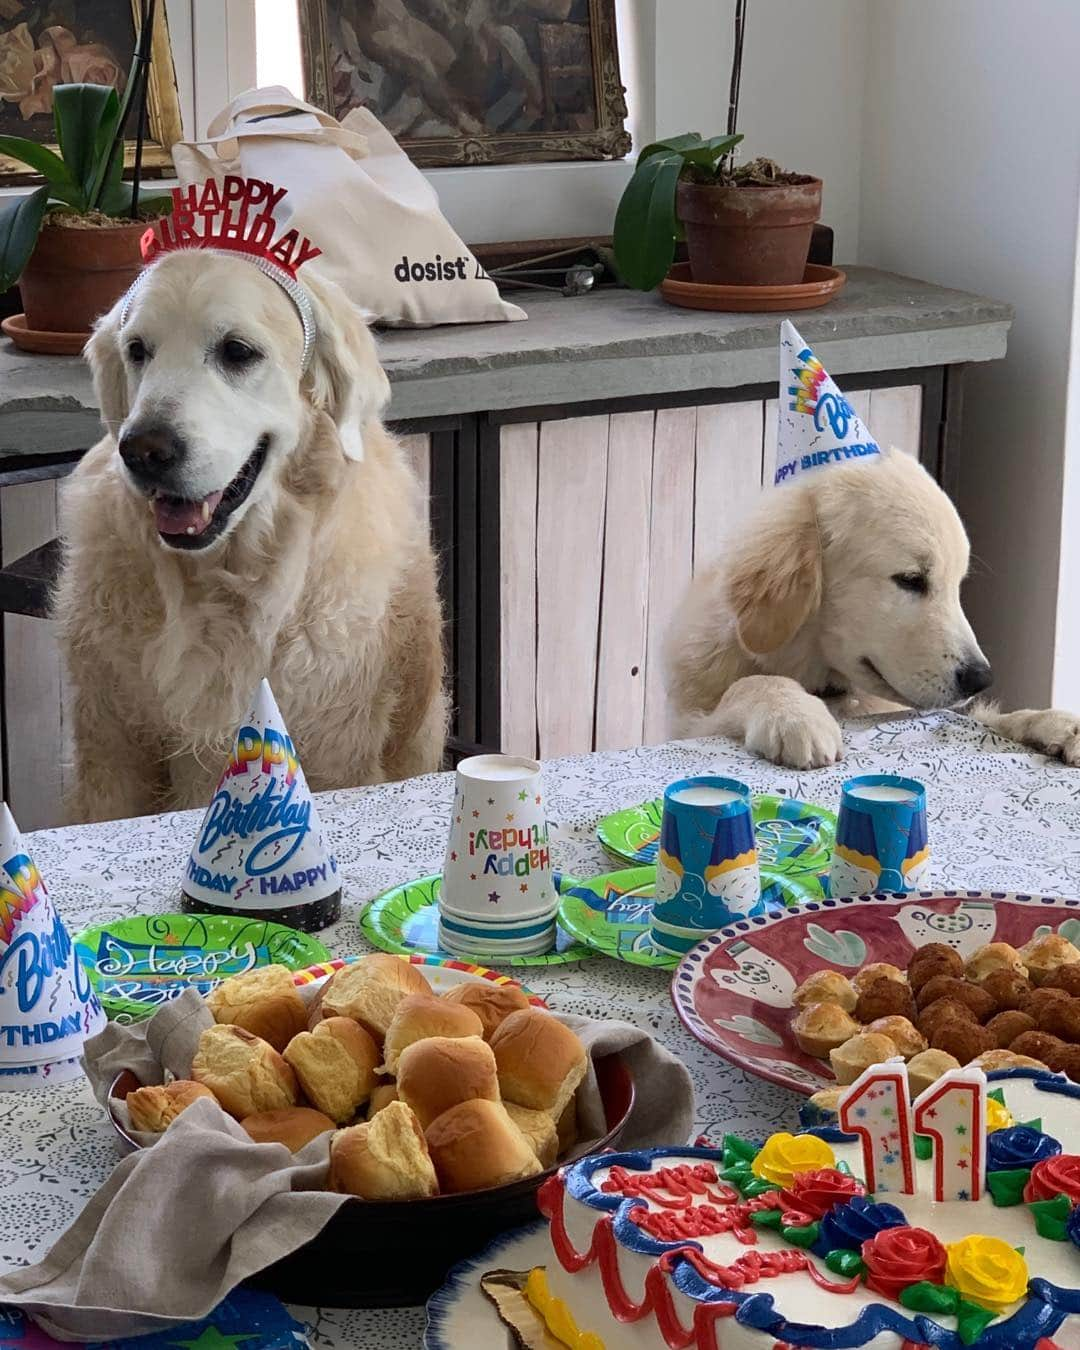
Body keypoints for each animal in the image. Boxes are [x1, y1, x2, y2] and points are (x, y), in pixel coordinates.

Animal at [53, 252, 442, 820]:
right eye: (137, 350)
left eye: (237, 352)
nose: (143, 451)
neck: (227, 582)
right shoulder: (113, 750)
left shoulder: (336, 749)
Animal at [666, 448, 1080, 772]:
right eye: (911, 580)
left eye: (957, 584)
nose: (981, 679)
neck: (832, 690)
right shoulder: (691, 725)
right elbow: (752, 683)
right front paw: (795, 713)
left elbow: (989, 717)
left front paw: (1054, 724)